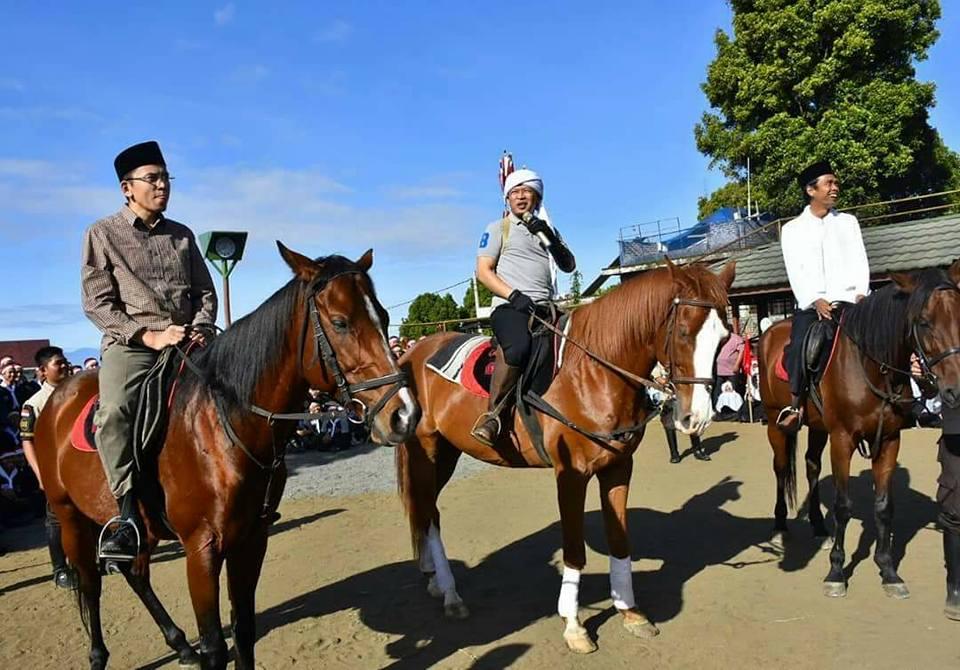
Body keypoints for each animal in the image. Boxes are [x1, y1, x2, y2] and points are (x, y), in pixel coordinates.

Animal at [34, 245, 416, 670]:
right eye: (340, 322)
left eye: (383, 317)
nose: (403, 414)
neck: (223, 422)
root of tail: (58, 396)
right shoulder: (202, 549)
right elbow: (215, 646)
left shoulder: (251, 538)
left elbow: (245, 630)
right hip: (70, 516)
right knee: (90, 584)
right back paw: (99, 655)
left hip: (138, 529)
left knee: (135, 573)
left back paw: (178, 643)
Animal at [394, 262, 732, 656]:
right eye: (682, 332)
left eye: (724, 337)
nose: (697, 417)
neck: (593, 373)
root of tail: (412, 354)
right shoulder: (571, 474)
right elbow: (574, 551)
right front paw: (573, 626)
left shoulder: (618, 468)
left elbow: (620, 540)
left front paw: (630, 612)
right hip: (427, 452)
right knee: (428, 514)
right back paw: (450, 593)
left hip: (446, 454)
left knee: (428, 510)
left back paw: (436, 581)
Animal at [756, 262, 960, 600]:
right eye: (923, 322)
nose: (954, 389)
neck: (871, 366)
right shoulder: (842, 440)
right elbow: (843, 506)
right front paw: (836, 571)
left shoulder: (889, 440)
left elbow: (884, 506)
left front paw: (888, 570)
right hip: (775, 422)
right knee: (781, 468)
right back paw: (779, 527)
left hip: (817, 427)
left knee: (811, 466)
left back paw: (818, 527)